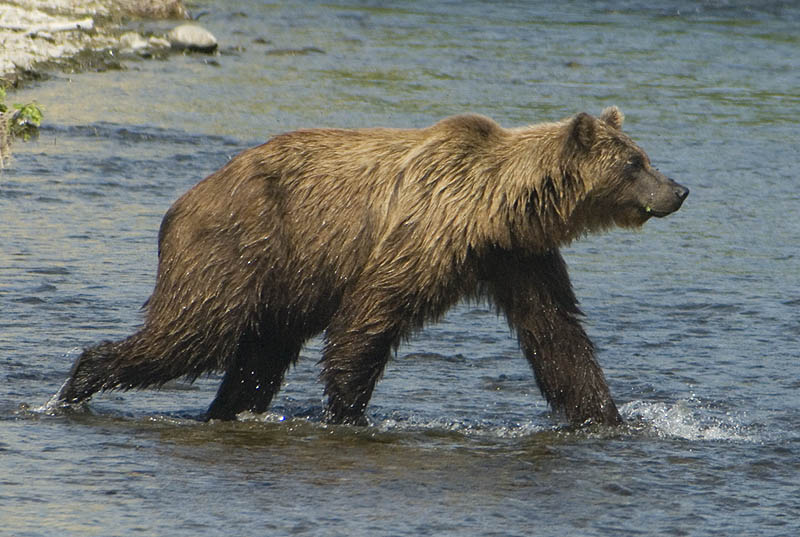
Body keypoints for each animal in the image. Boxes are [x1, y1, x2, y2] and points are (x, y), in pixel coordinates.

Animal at [57, 107, 688, 426]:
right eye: (635, 163)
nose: (678, 190)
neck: (494, 211)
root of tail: (181, 201)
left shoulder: (518, 259)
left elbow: (557, 336)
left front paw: (607, 415)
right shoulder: (423, 237)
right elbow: (368, 318)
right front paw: (348, 412)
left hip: (284, 277)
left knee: (260, 353)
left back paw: (227, 409)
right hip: (237, 247)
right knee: (193, 334)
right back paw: (77, 384)